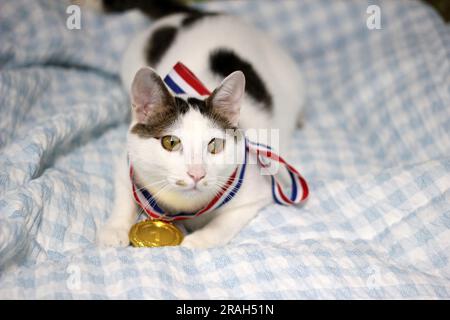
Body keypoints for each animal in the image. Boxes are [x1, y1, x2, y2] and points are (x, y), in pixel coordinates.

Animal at [89, 0, 304, 248]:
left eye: (215, 145)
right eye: (171, 142)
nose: (197, 174)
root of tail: (200, 14)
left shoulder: (257, 190)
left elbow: (223, 224)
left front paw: (198, 240)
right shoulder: (127, 164)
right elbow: (124, 195)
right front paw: (114, 229)